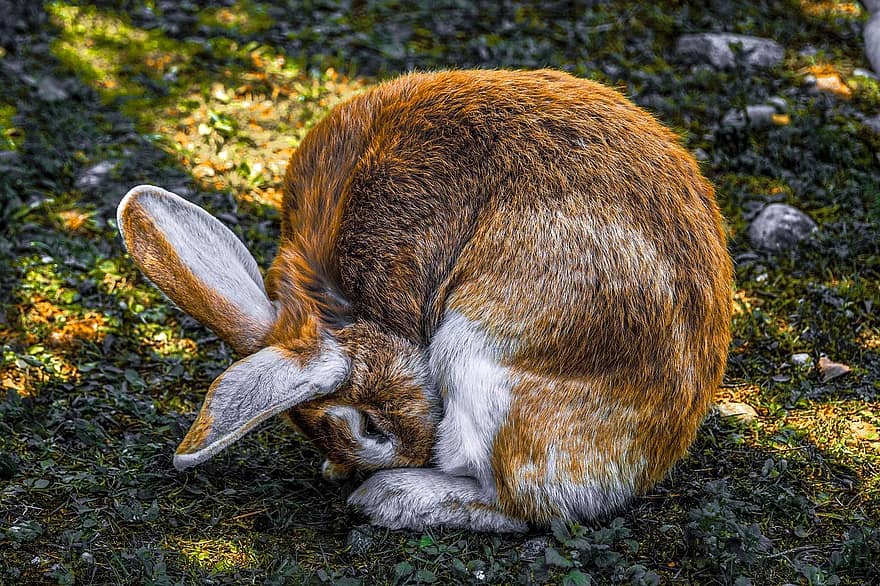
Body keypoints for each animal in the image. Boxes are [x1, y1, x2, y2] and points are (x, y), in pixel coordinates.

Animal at [118, 67, 736, 528]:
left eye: (368, 429)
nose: (357, 467)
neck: (344, 308)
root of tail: (655, 450)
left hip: (480, 358)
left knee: (520, 505)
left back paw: (390, 498)